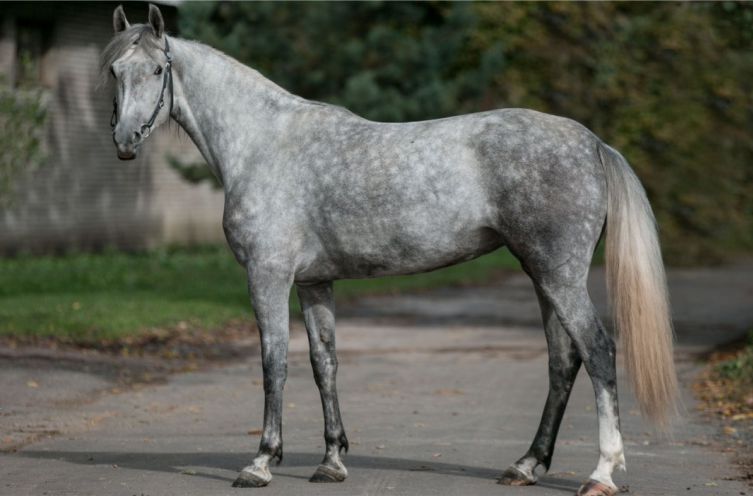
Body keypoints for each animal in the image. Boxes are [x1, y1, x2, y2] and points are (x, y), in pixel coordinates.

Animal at [101, 4, 676, 496]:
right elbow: (324, 362)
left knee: (598, 351)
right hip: (543, 275)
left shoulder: (267, 276)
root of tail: (592, 143)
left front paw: (261, 462)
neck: (264, 143)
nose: (125, 141)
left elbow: (274, 362)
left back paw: (601, 473)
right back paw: (526, 465)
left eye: (157, 70)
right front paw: (332, 462)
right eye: (114, 72)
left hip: (558, 274)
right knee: (563, 361)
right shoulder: (314, 282)